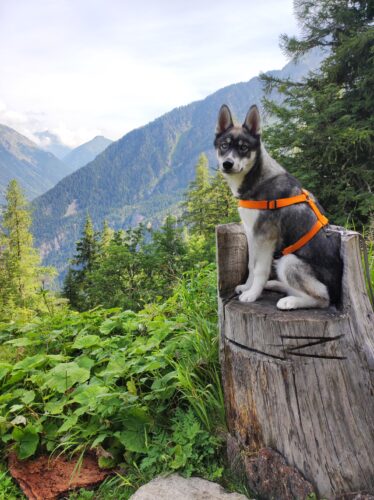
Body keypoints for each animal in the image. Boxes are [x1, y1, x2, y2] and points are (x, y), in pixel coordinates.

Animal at [213, 104, 342, 308]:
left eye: (243, 148)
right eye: (224, 146)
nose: (227, 164)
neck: (257, 178)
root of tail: (337, 293)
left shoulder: (266, 235)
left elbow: (260, 269)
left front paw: (252, 294)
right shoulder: (251, 231)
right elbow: (251, 265)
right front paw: (247, 287)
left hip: (288, 261)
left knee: (321, 299)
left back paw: (290, 301)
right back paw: (275, 285)